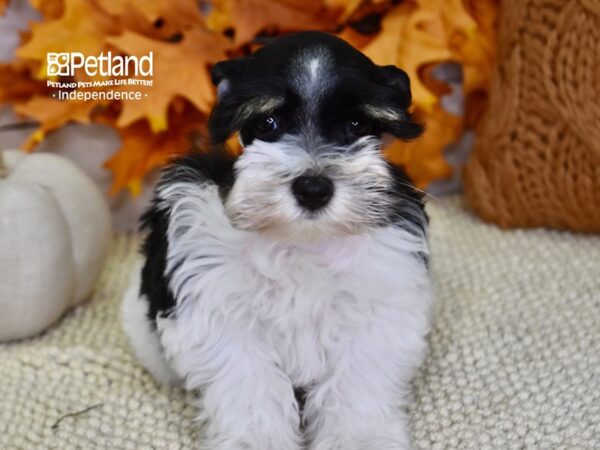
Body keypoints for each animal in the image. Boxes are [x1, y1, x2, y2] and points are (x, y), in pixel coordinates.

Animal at [122, 31, 432, 450]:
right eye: (267, 122)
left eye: (355, 125)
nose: (313, 188)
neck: (302, 239)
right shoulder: (222, 315)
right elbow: (251, 387)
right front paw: (256, 440)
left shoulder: (380, 306)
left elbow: (356, 383)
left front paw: (360, 437)